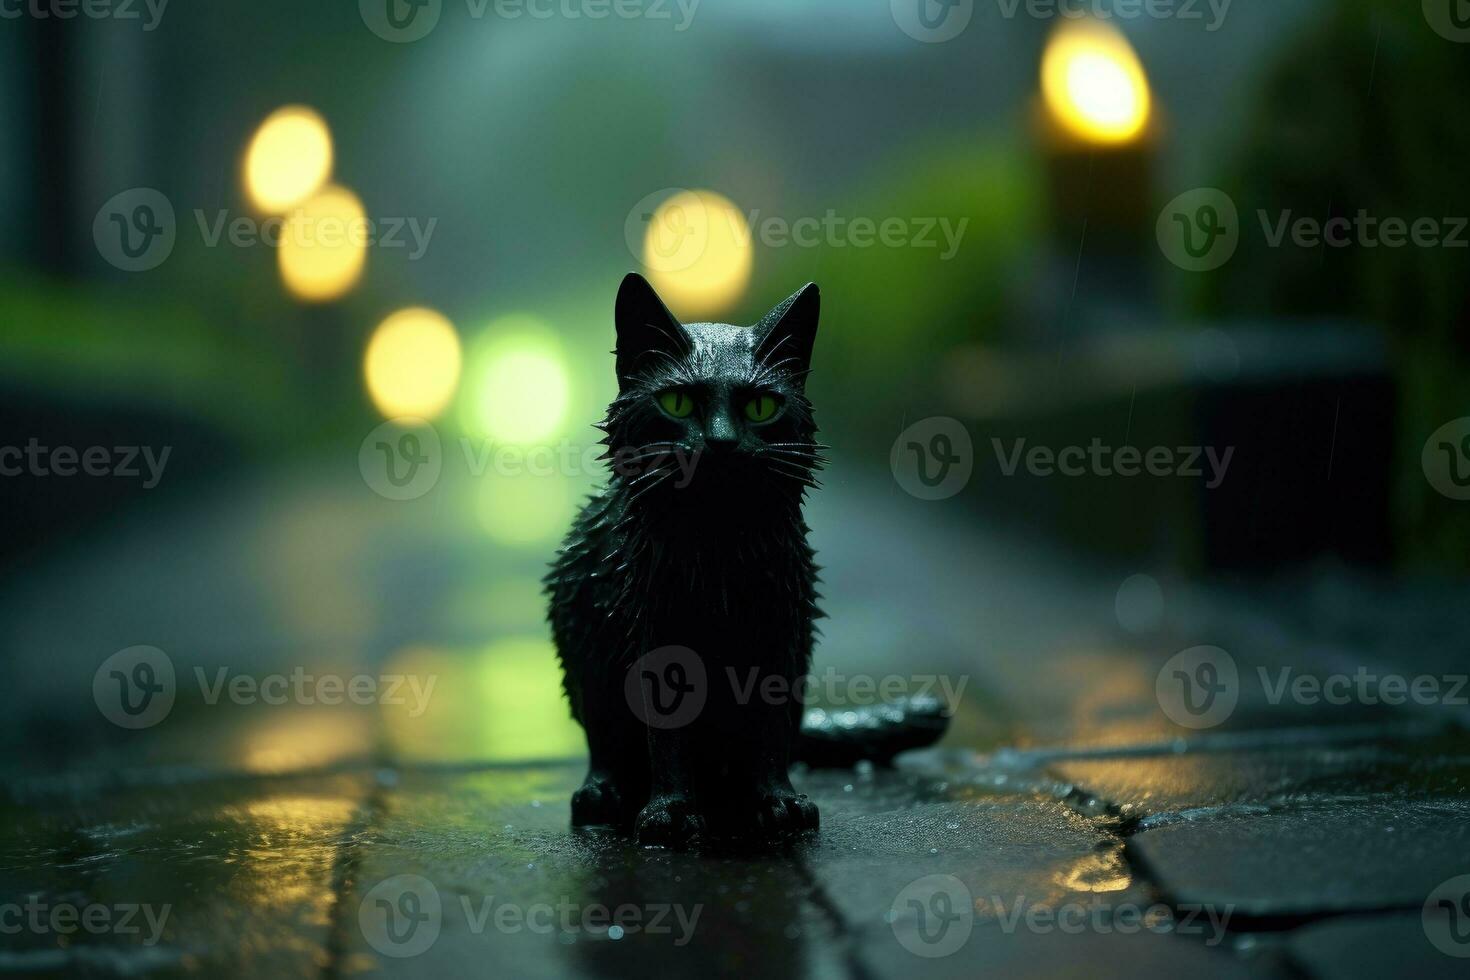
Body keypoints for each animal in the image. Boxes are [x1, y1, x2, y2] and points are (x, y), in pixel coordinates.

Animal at [546, 271, 946, 846]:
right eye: (677, 404)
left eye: (761, 407)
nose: (721, 442)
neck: (717, 552)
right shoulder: (653, 632)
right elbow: (665, 735)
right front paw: (669, 814)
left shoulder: (781, 632)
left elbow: (769, 733)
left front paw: (777, 803)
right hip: (583, 654)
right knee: (605, 745)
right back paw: (604, 795)